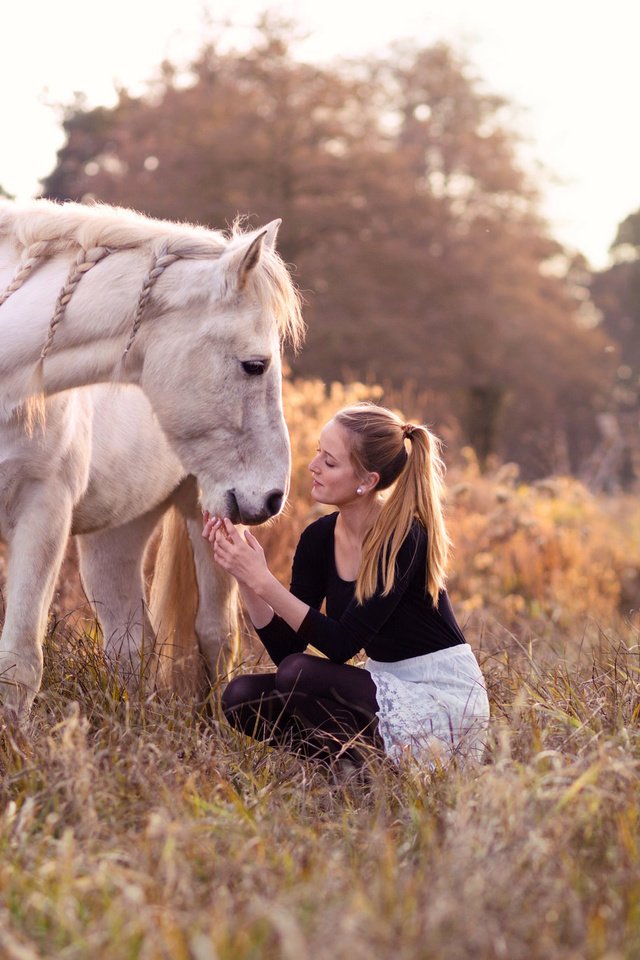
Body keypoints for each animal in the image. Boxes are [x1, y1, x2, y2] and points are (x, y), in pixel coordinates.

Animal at [0, 197, 304, 720]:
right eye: (255, 365)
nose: (271, 497)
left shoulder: (42, 511)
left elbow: (18, 665)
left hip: (205, 518)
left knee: (215, 635)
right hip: (115, 537)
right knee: (130, 644)